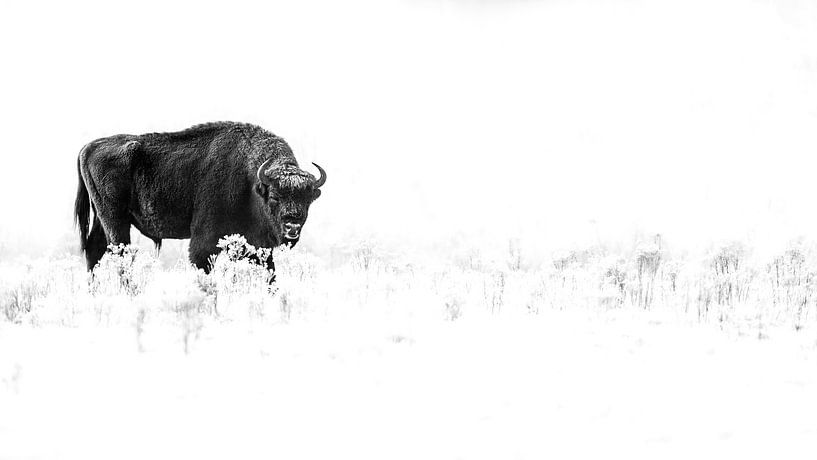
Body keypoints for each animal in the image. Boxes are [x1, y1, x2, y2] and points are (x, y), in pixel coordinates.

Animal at [74, 121, 326, 272]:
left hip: (102, 219)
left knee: (94, 251)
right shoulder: (204, 242)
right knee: (119, 254)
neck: (252, 182)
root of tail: (88, 147)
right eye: (274, 196)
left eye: (307, 199)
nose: (292, 226)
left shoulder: (256, 247)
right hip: (115, 222)